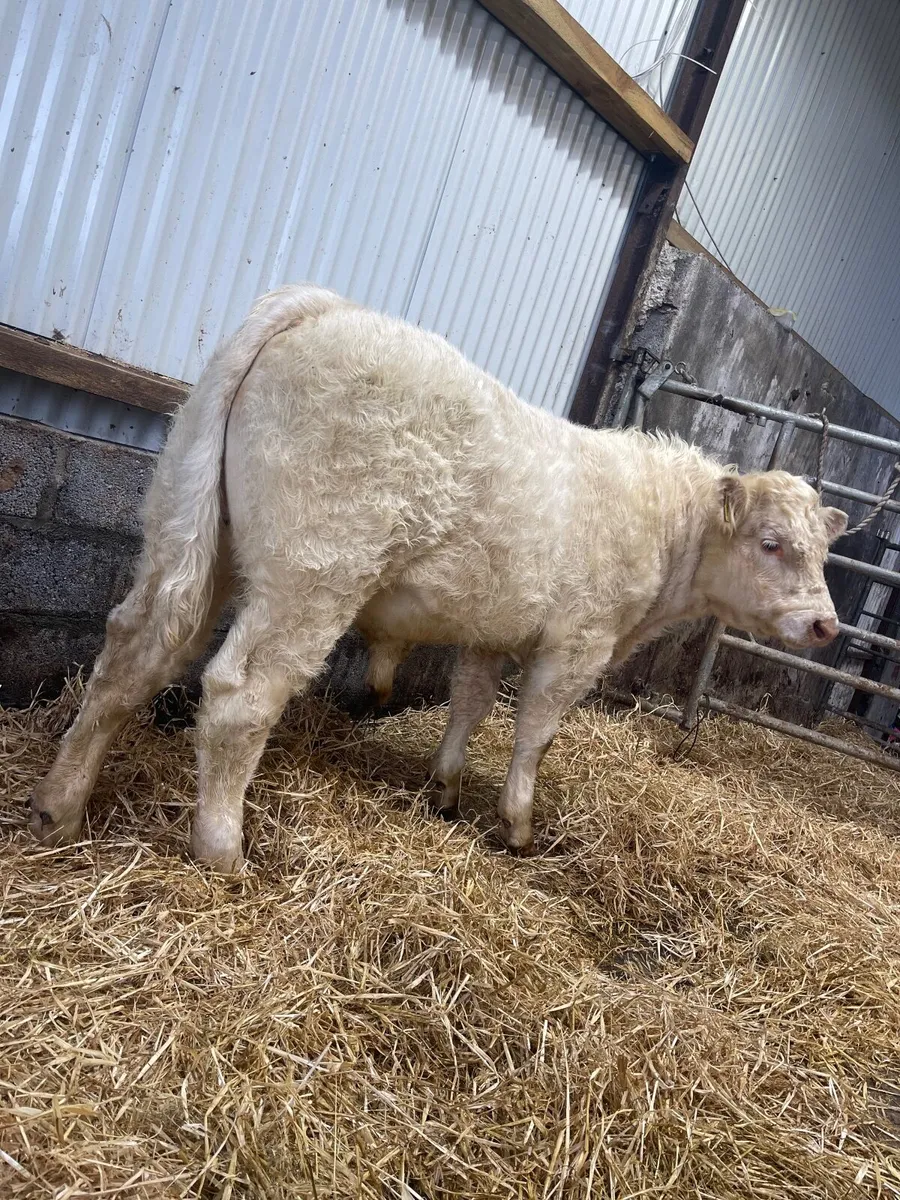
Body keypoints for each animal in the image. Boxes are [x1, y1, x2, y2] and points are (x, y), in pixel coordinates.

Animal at [28, 286, 848, 871]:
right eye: (773, 543)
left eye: (822, 553)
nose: (826, 623)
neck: (661, 522)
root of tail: (328, 307)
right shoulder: (579, 641)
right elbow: (535, 732)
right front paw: (516, 824)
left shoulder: (492, 629)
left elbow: (469, 704)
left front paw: (446, 788)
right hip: (315, 571)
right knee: (239, 694)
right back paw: (222, 847)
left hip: (193, 529)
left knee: (135, 645)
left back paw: (59, 807)